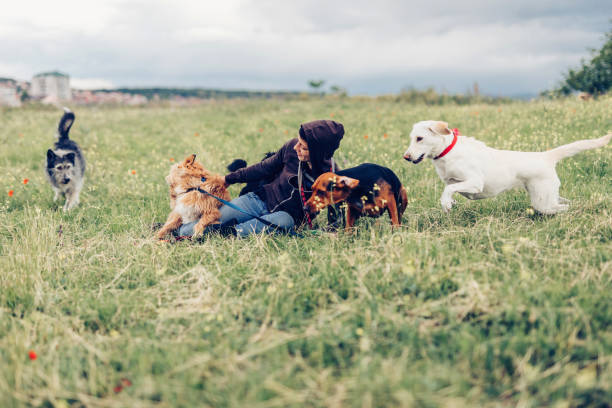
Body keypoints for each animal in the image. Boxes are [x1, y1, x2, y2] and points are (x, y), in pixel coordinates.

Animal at [404, 120, 608, 214]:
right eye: (411, 138)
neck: (447, 152)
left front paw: (446, 203)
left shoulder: (475, 182)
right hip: (546, 195)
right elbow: (451, 186)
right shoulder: (454, 181)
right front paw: (450, 202)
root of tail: (545, 156)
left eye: (419, 138)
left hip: (542, 202)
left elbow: (449, 189)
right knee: (564, 201)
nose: (406, 157)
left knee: (562, 208)